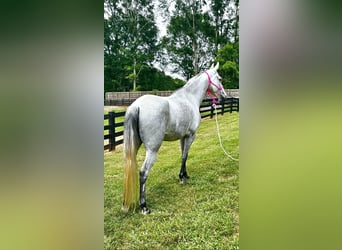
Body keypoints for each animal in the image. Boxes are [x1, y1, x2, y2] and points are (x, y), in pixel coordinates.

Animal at [121, 61, 226, 214]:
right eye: (219, 78)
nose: (224, 96)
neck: (189, 98)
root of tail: (136, 106)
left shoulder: (183, 137)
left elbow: (184, 155)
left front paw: (185, 175)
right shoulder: (191, 135)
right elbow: (184, 156)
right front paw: (182, 178)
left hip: (133, 147)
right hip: (152, 150)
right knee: (143, 172)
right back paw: (144, 206)